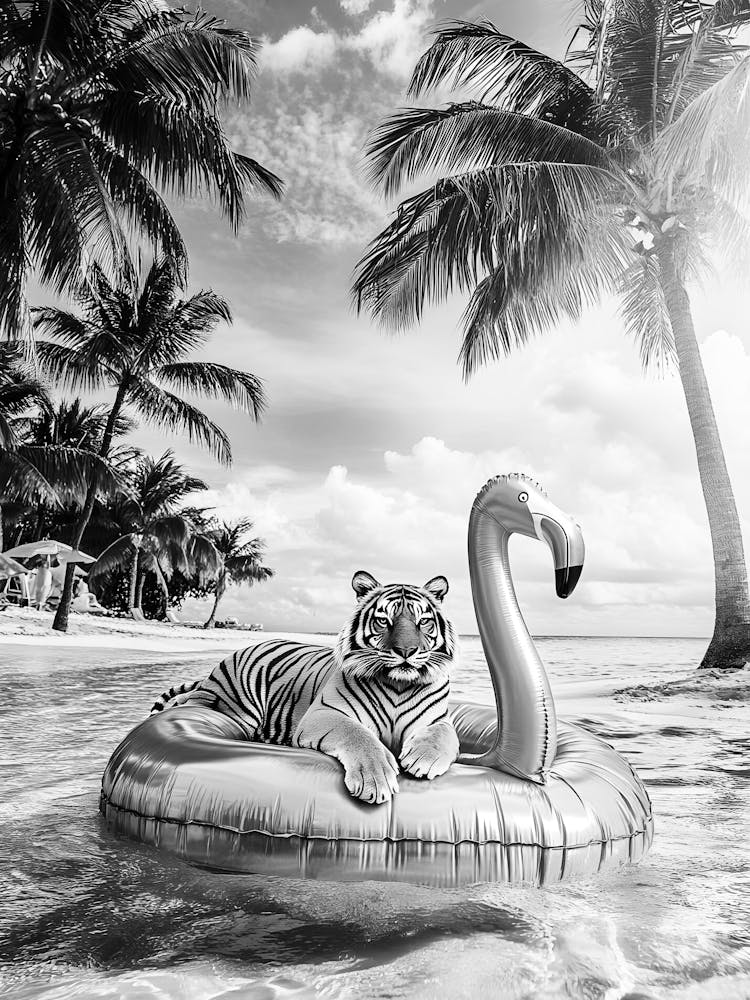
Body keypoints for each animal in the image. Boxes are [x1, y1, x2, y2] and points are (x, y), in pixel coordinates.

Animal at [150, 570, 460, 804]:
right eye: (384, 620)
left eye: (423, 622)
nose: (406, 651)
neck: (397, 684)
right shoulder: (324, 714)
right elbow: (358, 735)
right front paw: (376, 778)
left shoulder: (438, 720)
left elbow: (444, 736)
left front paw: (423, 758)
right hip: (237, 704)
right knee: (191, 701)